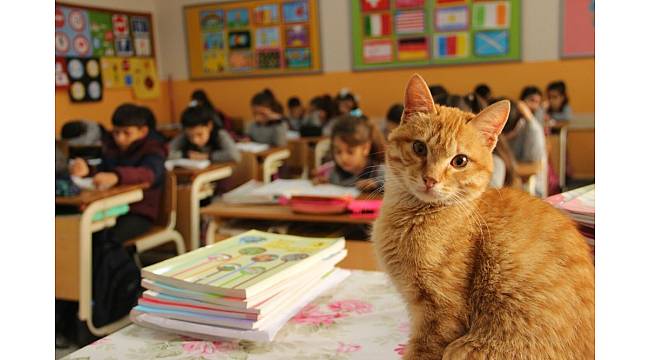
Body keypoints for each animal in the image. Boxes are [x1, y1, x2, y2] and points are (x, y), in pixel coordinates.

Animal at [372, 74, 596, 358]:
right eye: (419, 148)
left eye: (459, 161)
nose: (430, 179)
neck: (413, 216)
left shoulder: (441, 314)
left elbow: (421, 350)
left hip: (465, 347)